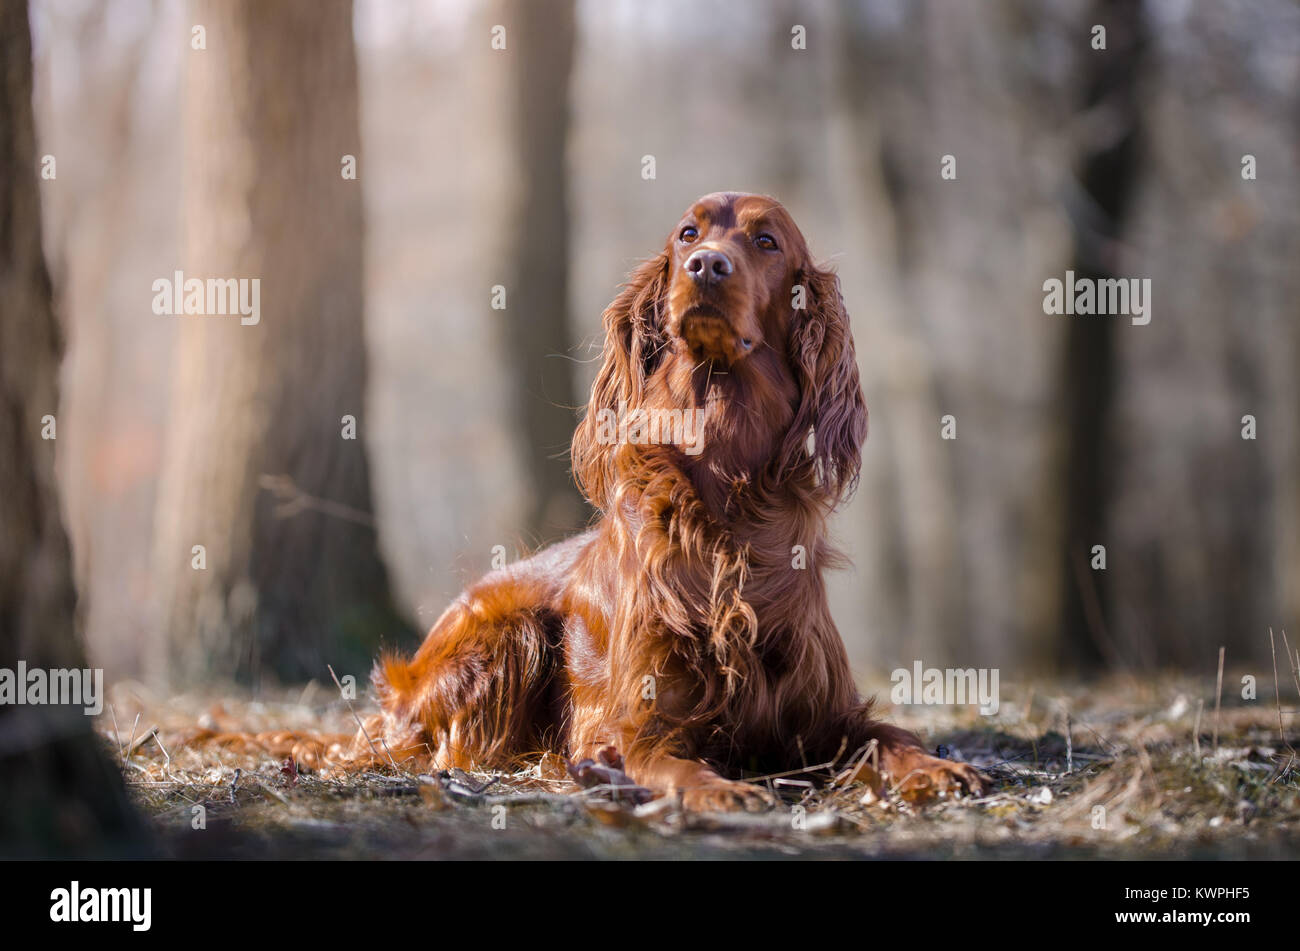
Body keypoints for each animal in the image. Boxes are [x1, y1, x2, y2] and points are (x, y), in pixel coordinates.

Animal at [366, 193, 982, 810]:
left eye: (766, 241)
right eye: (688, 233)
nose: (706, 265)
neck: (727, 485)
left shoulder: (826, 714)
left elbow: (889, 735)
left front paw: (936, 767)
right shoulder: (637, 720)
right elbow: (666, 760)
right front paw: (718, 790)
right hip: (510, 635)